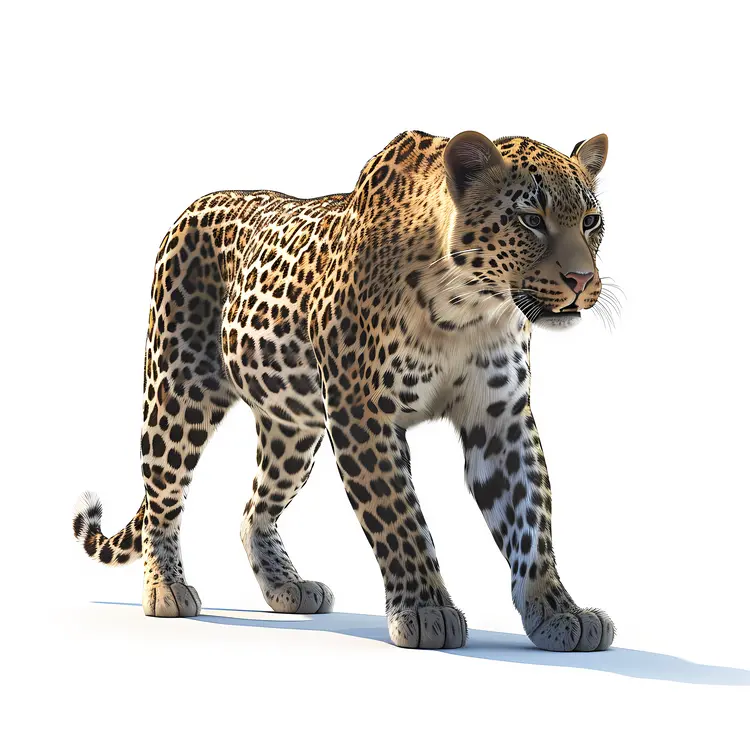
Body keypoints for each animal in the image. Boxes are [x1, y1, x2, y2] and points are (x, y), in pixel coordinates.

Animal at [73, 129, 616, 651]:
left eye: (591, 221)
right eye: (530, 219)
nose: (582, 280)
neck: (470, 308)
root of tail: (198, 202)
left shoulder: (500, 416)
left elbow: (531, 521)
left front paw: (558, 612)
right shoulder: (362, 413)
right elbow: (400, 520)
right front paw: (425, 610)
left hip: (291, 430)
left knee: (252, 511)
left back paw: (287, 587)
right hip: (177, 391)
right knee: (162, 497)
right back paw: (165, 587)